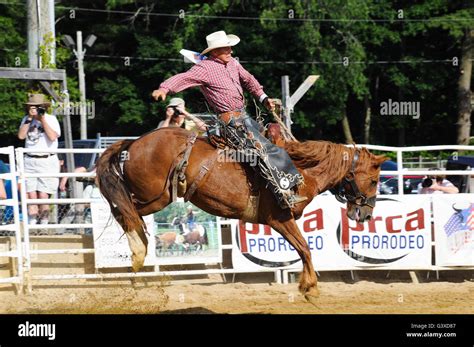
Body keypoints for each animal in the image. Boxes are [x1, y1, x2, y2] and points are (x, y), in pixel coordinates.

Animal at [95, 126, 386, 304]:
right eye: (374, 180)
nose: (365, 214)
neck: (303, 171)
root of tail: (135, 141)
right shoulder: (279, 219)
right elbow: (304, 247)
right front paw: (310, 288)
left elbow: (303, 249)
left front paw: (308, 286)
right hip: (154, 195)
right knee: (124, 209)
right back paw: (137, 250)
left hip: (159, 196)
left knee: (126, 211)